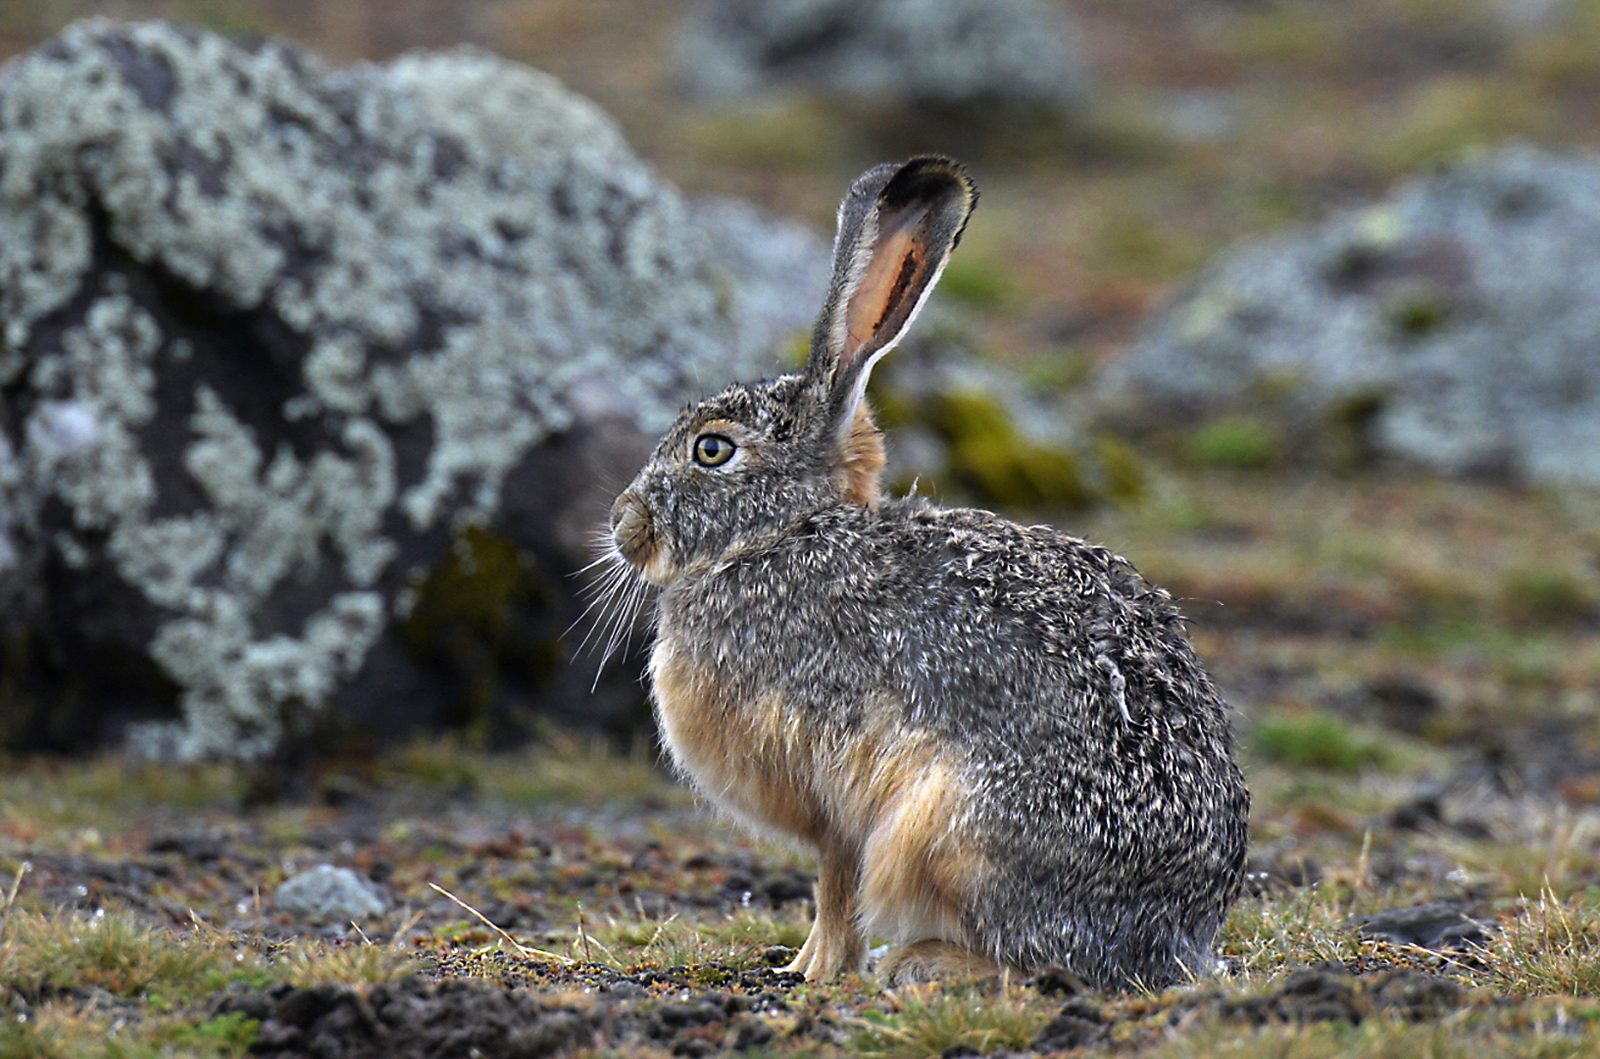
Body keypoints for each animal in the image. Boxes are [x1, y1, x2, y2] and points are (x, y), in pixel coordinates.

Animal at [604, 156, 1250, 990]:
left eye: (711, 449)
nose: (623, 525)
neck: (786, 531)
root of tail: (1173, 939)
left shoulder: (837, 796)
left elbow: (836, 884)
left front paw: (815, 972)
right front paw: (804, 964)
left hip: (951, 833)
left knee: (1031, 961)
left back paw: (921, 961)